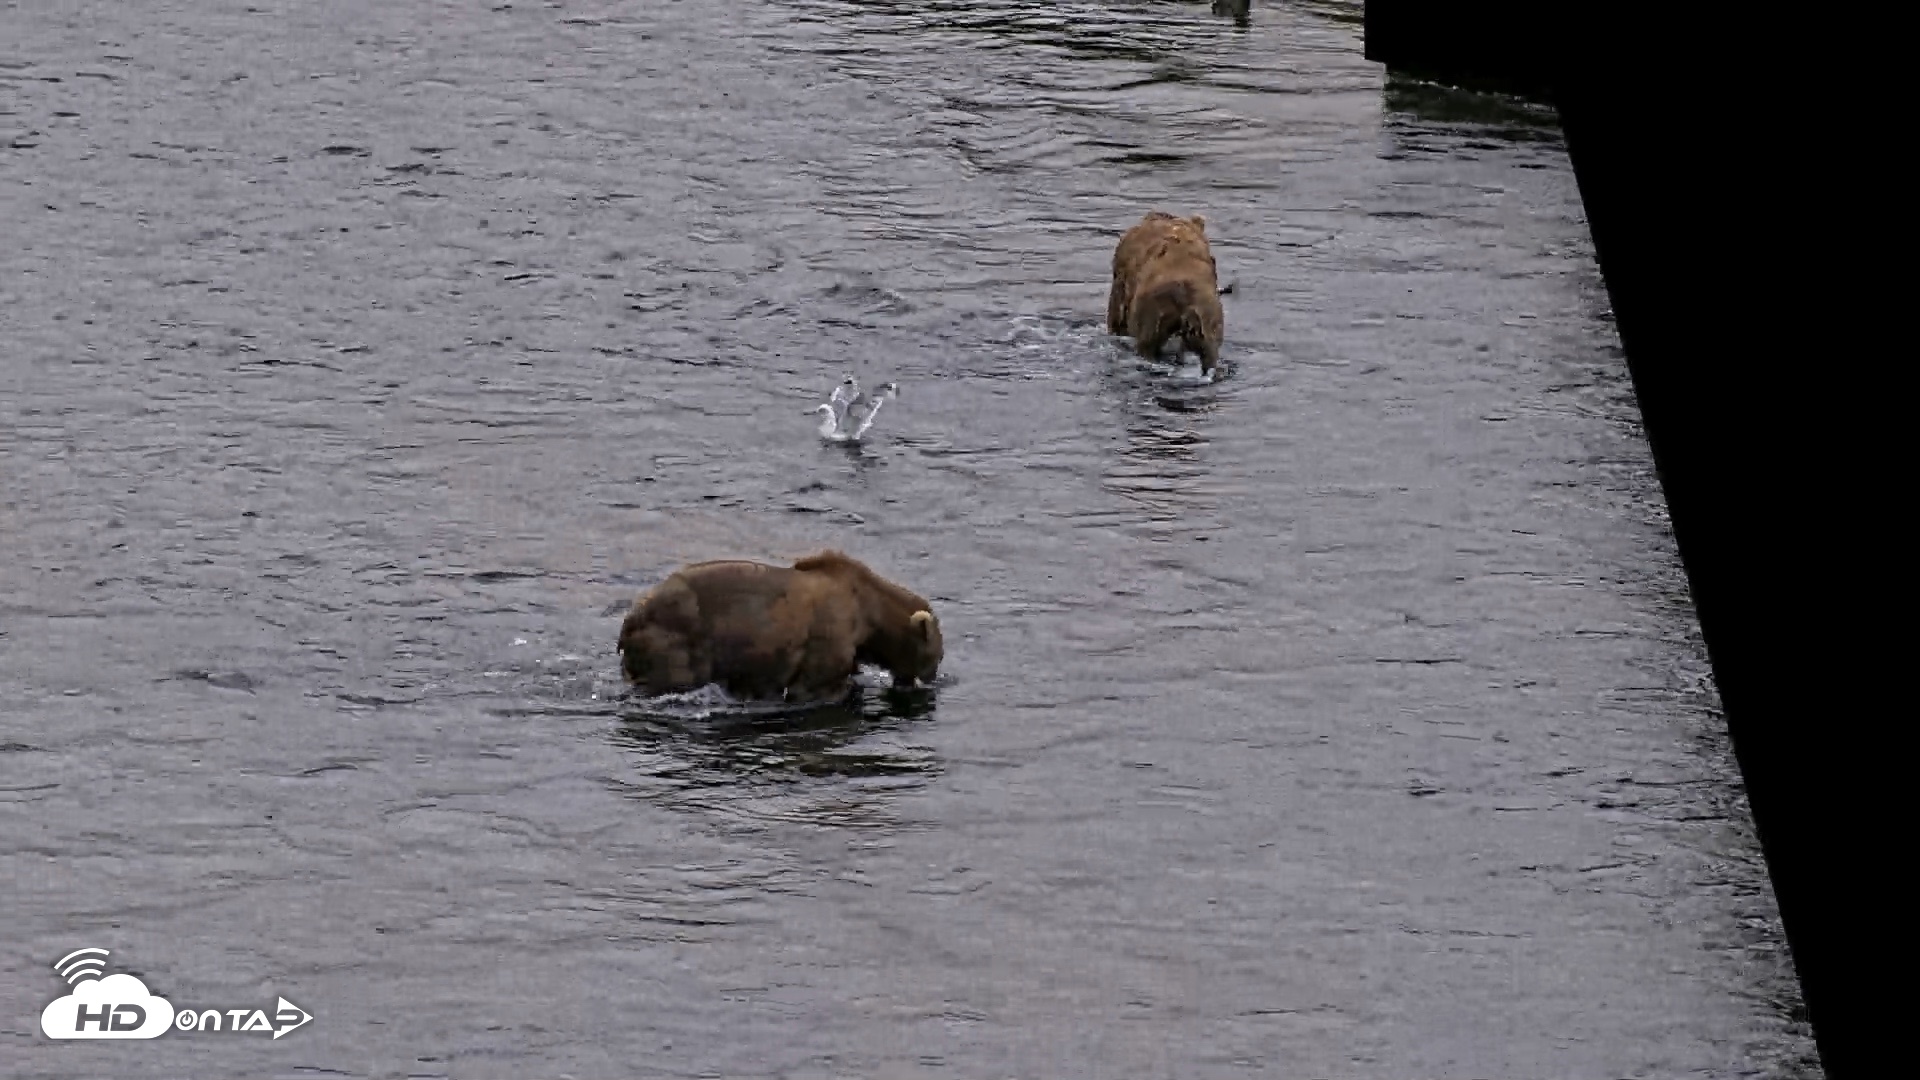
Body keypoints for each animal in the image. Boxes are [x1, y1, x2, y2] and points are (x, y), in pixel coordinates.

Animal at [616, 550, 943, 705]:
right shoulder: (828, 635)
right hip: (678, 637)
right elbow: (814, 685)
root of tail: (631, 617)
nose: (933, 678)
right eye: (937, 654)